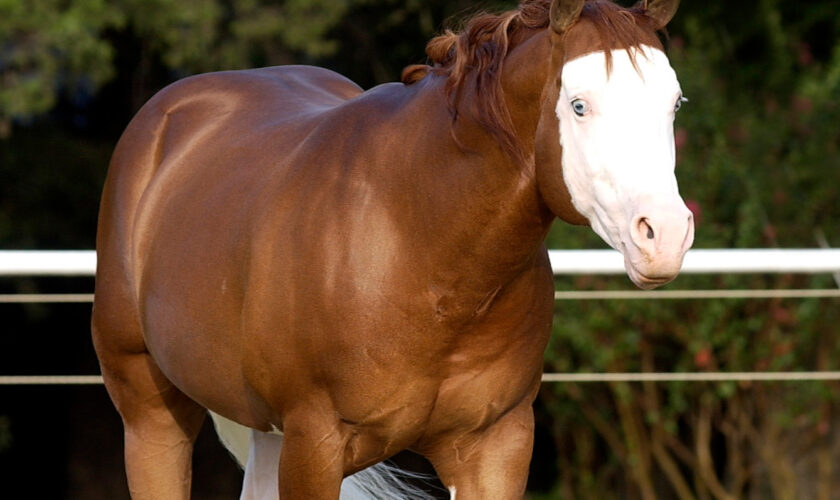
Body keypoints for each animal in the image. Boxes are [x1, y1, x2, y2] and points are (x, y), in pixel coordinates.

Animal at [92, 1, 692, 498]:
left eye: (674, 103)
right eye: (580, 105)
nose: (663, 234)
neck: (419, 246)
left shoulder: (496, 446)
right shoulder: (315, 447)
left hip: (265, 430)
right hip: (150, 415)